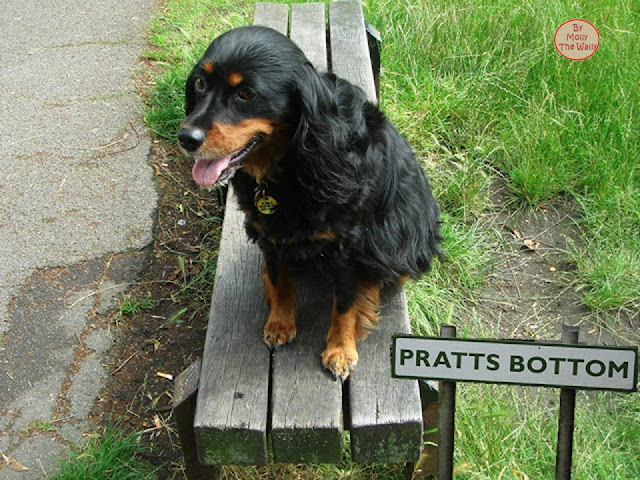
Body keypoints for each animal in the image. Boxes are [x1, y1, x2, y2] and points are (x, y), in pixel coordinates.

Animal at [178, 26, 442, 380]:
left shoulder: (348, 249)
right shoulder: (270, 234)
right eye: (200, 84)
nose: (186, 138)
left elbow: (344, 303)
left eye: (246, 94)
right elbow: (279, 281)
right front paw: (279, 323)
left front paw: (340, 350)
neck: (289, 166)